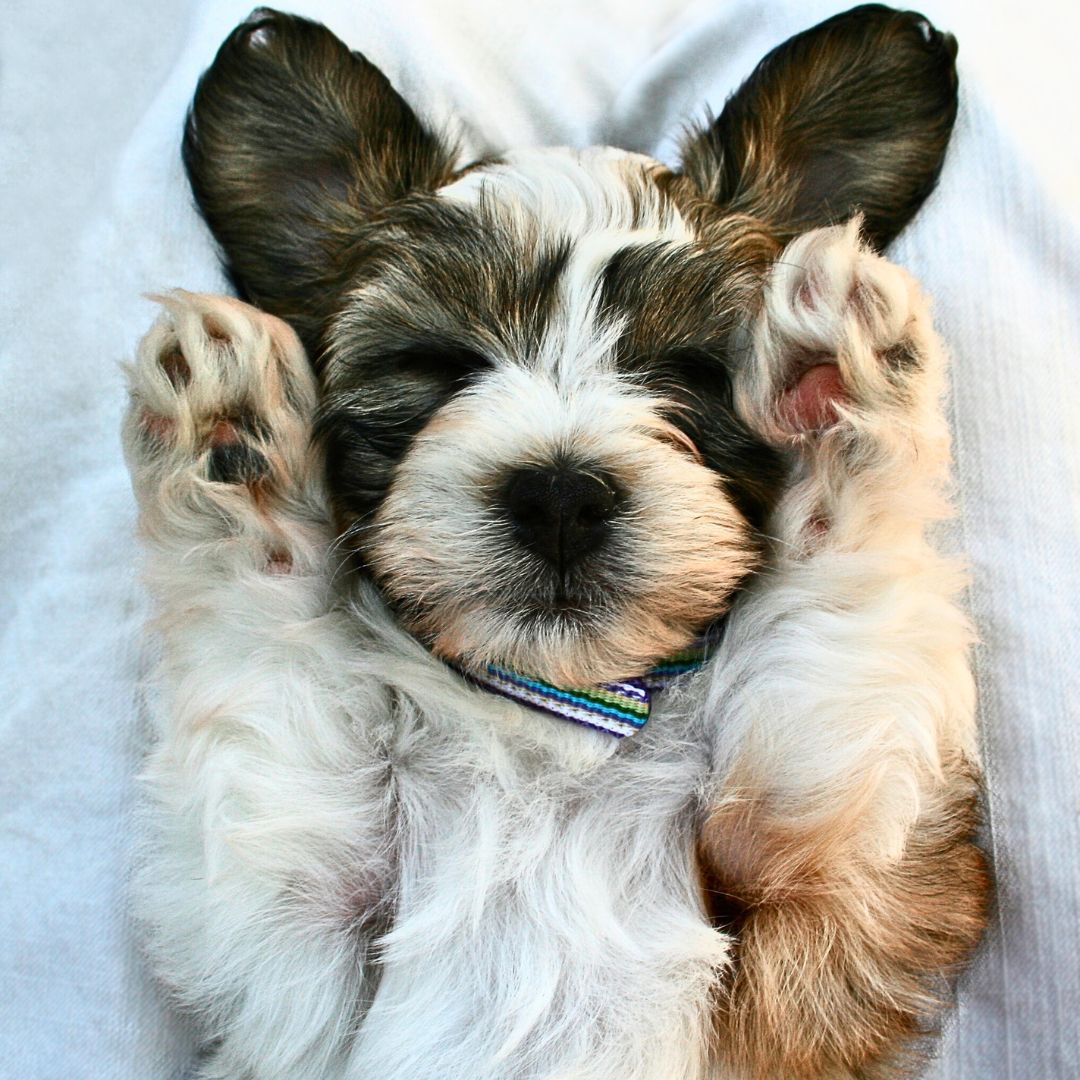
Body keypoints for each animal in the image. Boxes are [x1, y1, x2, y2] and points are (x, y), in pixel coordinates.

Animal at [122, 4, 989, 1075]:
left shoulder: (832, 894)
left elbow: (835, 634)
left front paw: (837, 375)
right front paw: (229, 433)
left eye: (697, 373)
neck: (557, 718)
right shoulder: (292, 953)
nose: (562, 497)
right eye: (437, 362)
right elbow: (268, 677)